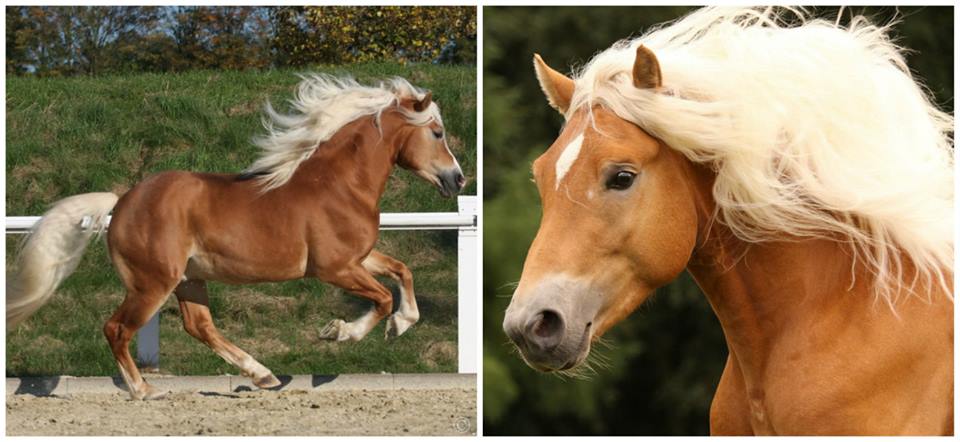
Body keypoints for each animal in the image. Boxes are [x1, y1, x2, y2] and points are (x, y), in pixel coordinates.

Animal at [7, 75, 464, 400]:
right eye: (438, 133)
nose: (457, 179)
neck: (338, 184)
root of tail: (121, 202)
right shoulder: (334, 268)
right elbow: (383, 297)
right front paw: (338, 332)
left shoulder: (359, 258)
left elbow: (402, 272)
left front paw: (401, 325)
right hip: (152, 282)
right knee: (117, 328)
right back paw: (145, 390)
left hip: (189, 279)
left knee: (198, 325)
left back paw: (263, 375)